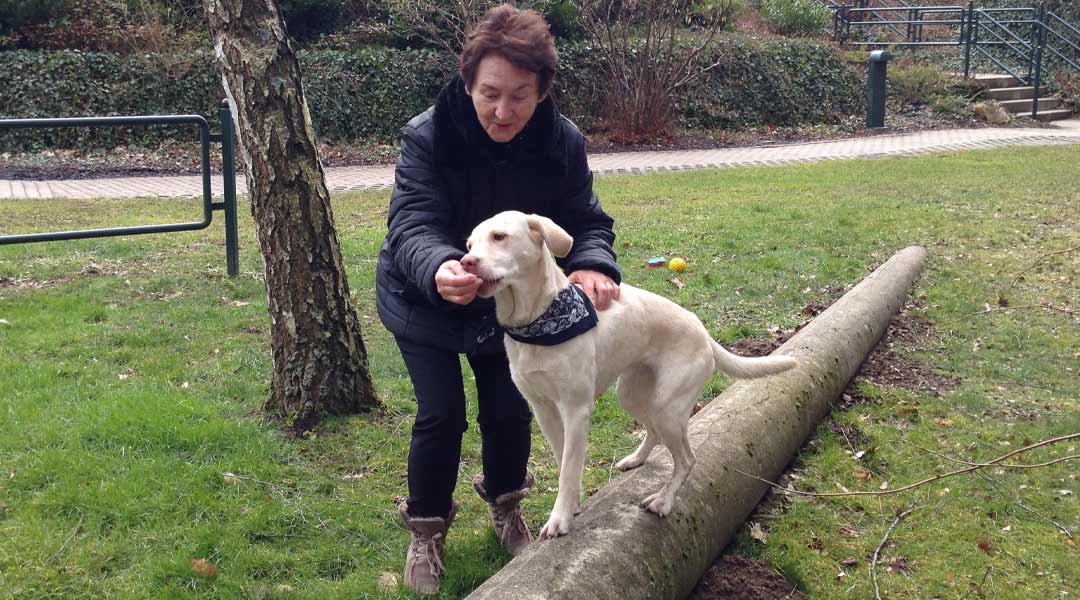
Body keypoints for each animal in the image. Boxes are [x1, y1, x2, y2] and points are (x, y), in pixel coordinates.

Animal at [460, 212, 799, 539]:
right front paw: (571, 506)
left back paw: (663, 500)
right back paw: (636, 459)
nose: (466, 263)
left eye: (499, 236)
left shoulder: (575, 410)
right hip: (632, 396)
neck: (535, 322)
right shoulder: (544, 411)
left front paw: (560, 519)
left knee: (687, 460)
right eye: (469, 245)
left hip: (667, 408)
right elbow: (563, 462)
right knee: (653, 431)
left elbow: (569, 469)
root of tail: (702, 330)